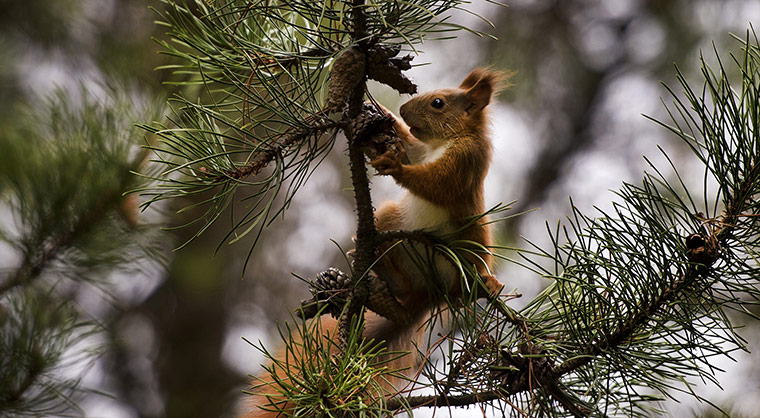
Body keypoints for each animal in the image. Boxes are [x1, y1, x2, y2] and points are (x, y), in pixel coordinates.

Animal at [237, 68, 506, 418]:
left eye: (438, 103)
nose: (403, 109)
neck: (443, 142)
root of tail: (429, 293)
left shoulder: (465, 161)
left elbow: (434, 183)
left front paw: (395, 166)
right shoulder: (421, 151)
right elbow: (410, 148)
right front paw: (383, 117)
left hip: (469, 250)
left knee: (464, 288)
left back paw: (486, 282)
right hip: (393, 223)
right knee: (402, 285)